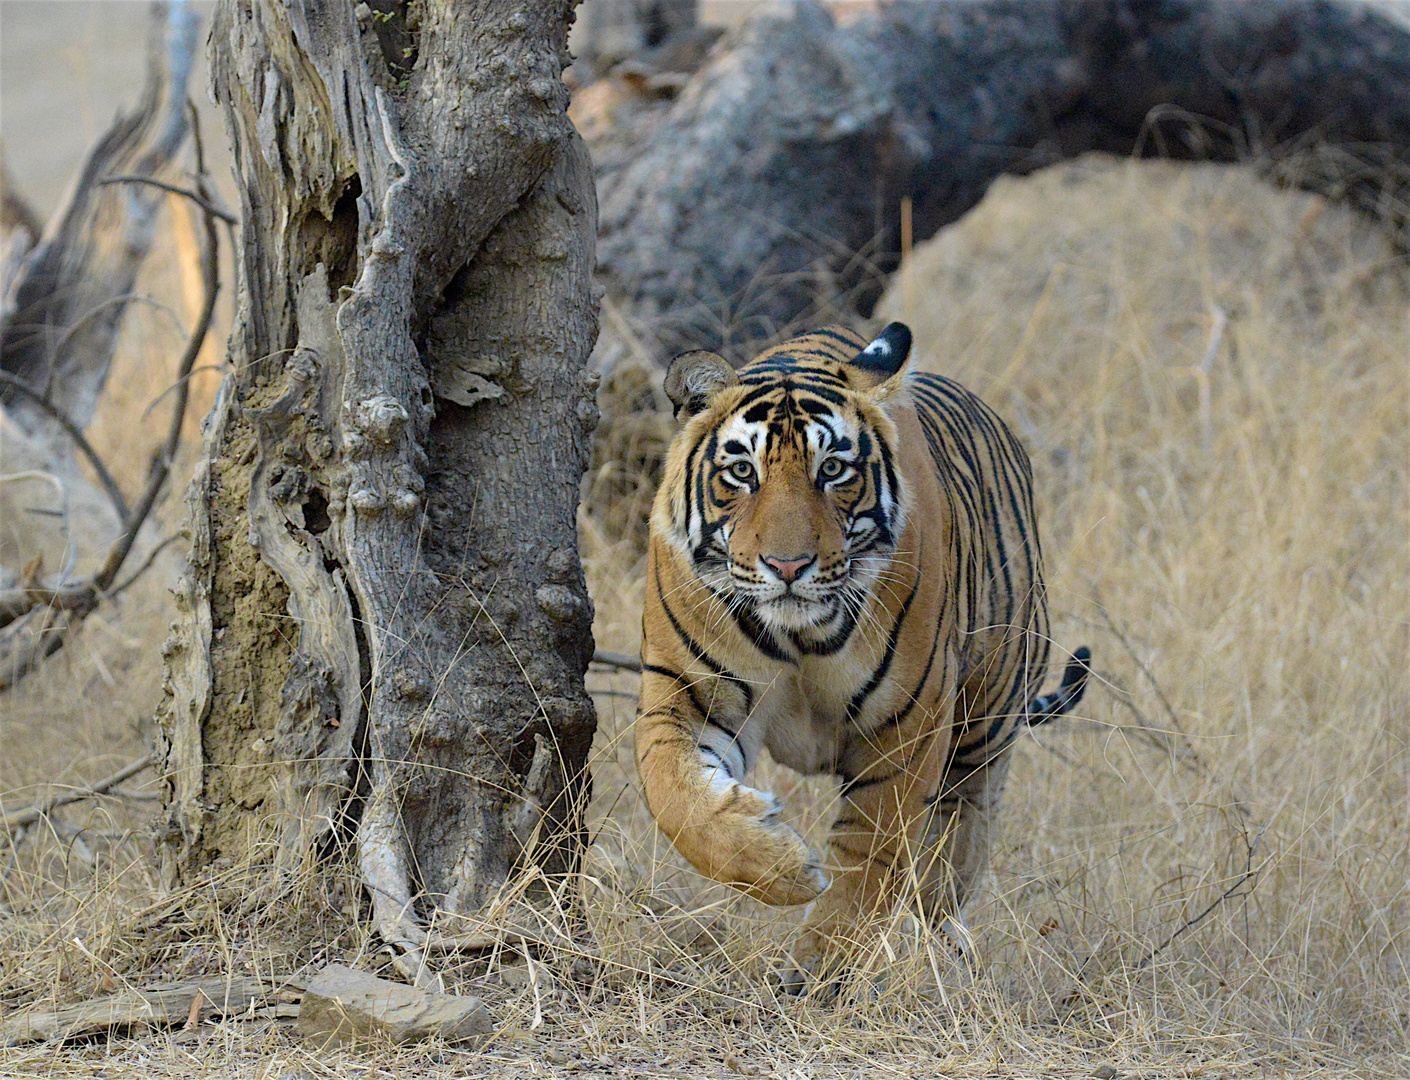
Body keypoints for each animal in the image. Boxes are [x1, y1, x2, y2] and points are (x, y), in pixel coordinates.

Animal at [637, 324, 1088, 992]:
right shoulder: (684, 694)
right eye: (742, 471)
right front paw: (783, 865)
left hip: (987, 714)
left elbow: (870, 855)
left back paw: (942, 943)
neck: (797, 636)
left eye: (832, 470)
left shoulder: (906, 723)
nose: (788, 566)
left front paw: (823, 972)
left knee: (959, 833)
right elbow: (676, 798)